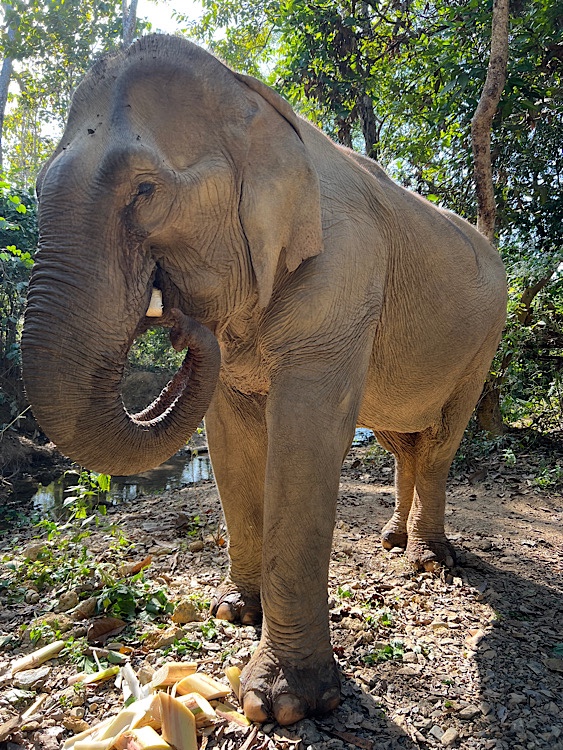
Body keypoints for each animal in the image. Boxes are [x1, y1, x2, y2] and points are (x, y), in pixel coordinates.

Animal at [22, 35, 507, 726]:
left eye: (144, 190)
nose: (179, 323)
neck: (256, 105)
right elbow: (229, 438)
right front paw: (233, 612)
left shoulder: (342, 276)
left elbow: (305, 442)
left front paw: (284, 704)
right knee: (402, 439)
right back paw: (391, 539)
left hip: (482, 341)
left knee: (441, 439)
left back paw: (429, 559)